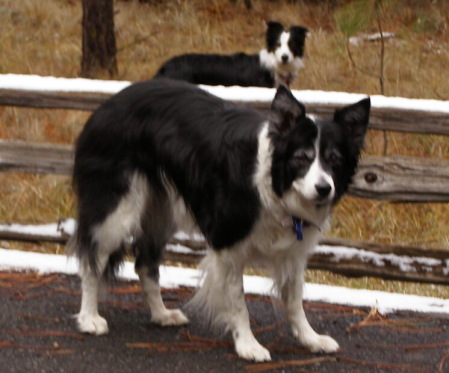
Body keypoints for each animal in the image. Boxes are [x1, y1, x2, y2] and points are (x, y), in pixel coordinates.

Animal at [68, 77, 370, 360]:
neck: (272, 183)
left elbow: (295, 300)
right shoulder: (228, 244)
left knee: (145, 264)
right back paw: (89, 318)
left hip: (160, 213)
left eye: (334, 159)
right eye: (301, 158)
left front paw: (310, 339)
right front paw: (248, 345)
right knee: (93, 261)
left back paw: (162, 314)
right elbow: (238, 302)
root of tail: (108, 104)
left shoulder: (294, 252)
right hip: (116, 211)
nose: (324, 189)